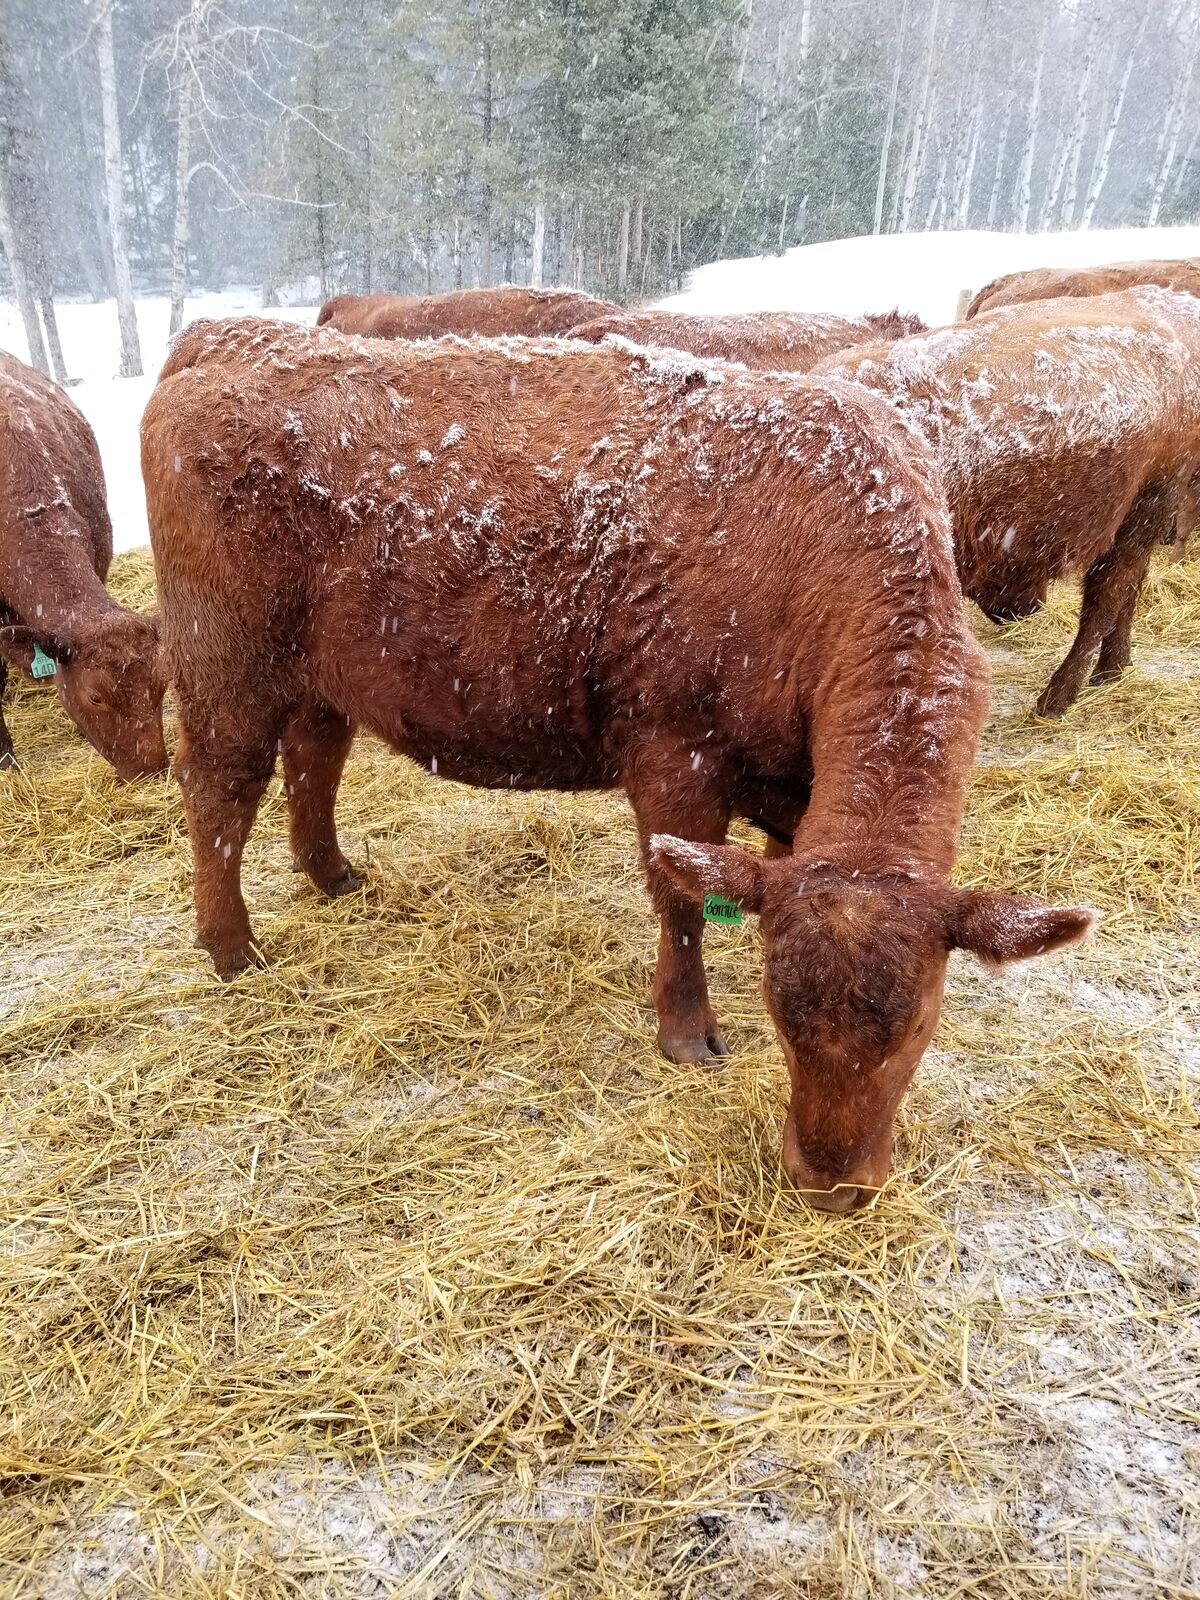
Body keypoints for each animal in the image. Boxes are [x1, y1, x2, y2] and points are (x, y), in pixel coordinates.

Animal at [142, 316, 1093, 1211]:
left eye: (921, 1025)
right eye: (784, 1018)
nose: (831, 1186)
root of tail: (228, 339)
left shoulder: (794, 800)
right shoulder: (678, 758)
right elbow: (680, 904)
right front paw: (686, 1031)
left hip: (318, 675)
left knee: (315, 756)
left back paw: (332, 874)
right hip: (226, 662)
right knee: (222, 791)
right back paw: (230, 946)